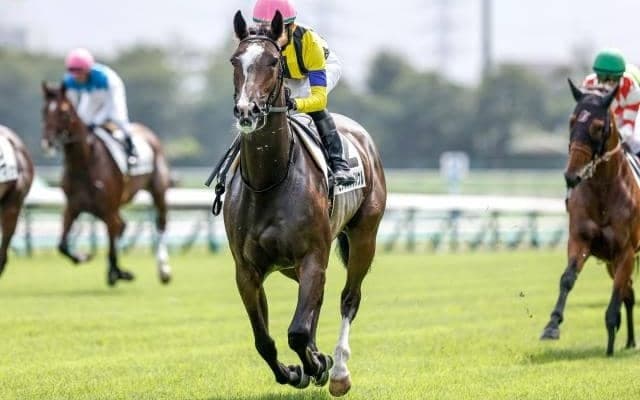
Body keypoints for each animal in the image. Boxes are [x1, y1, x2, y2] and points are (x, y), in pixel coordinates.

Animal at [41, 82, 172, 287]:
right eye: (44, 111)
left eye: (64, 112)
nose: (48, 142)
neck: (84, 163)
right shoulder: (73, 206)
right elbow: (61, 245)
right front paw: (83, 257)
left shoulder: (108, 209)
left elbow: (111, 245)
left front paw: (118, 272)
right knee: (122, 225)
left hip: (157, 190)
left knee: (160, 224)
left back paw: (163, 270)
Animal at [222, 11, 386, 396]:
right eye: (235, 60)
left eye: (272, 62)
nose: (247, 111)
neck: (268, 181)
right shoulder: (246, 270)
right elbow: (264, 340)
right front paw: (297, 370)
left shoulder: (313, 255)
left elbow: (296, 331)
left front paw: (318, 365)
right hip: (292, 265)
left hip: (364, 236)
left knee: (348, 299)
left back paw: (338, 370)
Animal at [540, 80, 640, 355]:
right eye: (572, 121)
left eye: (597, 127)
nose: (571, 176)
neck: (604, 192)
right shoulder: (581, 240)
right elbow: (567, 279)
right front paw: (552, 325)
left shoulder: (626, 252)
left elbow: (616, 297)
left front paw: (610, 338)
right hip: (609, 262)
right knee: (629, 293)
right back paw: (630, 341)